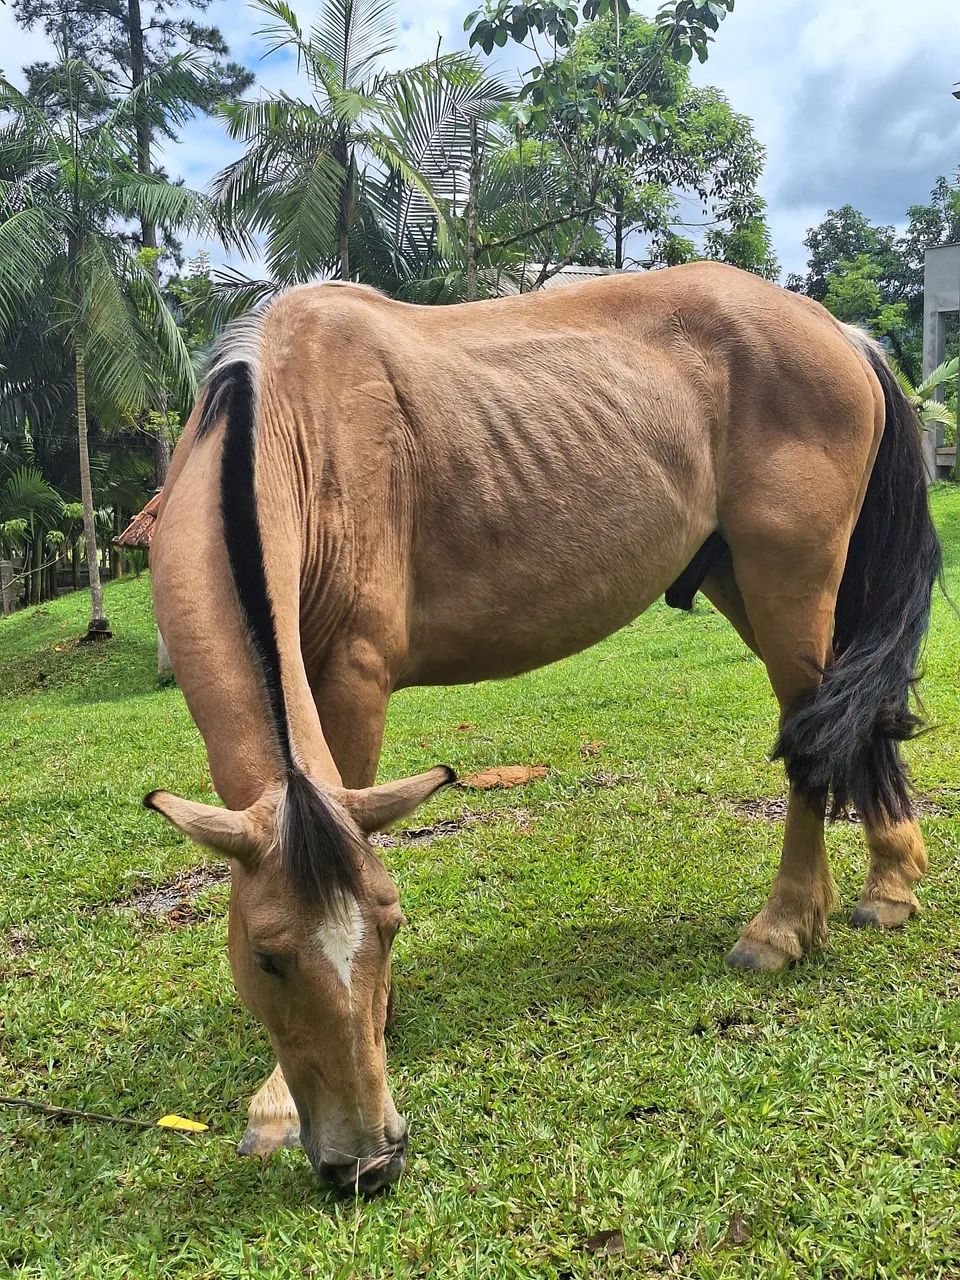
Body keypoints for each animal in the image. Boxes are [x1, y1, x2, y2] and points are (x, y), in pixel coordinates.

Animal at [146, 262, 941, 1195]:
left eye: (388, 927)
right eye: (266, 957)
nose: (371, 1160)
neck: (292, 421)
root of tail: (834, 329)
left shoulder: (352, 675)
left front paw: (280, 1093)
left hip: (791, 581)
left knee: (813, 743)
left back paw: (781, 930)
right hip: (744, 583)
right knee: (849, 724)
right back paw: (889, 883)